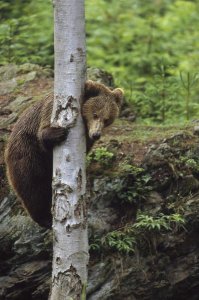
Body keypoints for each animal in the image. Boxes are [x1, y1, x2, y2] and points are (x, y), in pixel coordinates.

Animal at [4, 81, 123, 229]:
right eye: (95, 114)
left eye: (107, 119)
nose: (96, 134)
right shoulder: (51, 110)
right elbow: (43, 133)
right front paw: (58, 133)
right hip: (27, 153)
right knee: (32, 185)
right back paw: (44, 219)